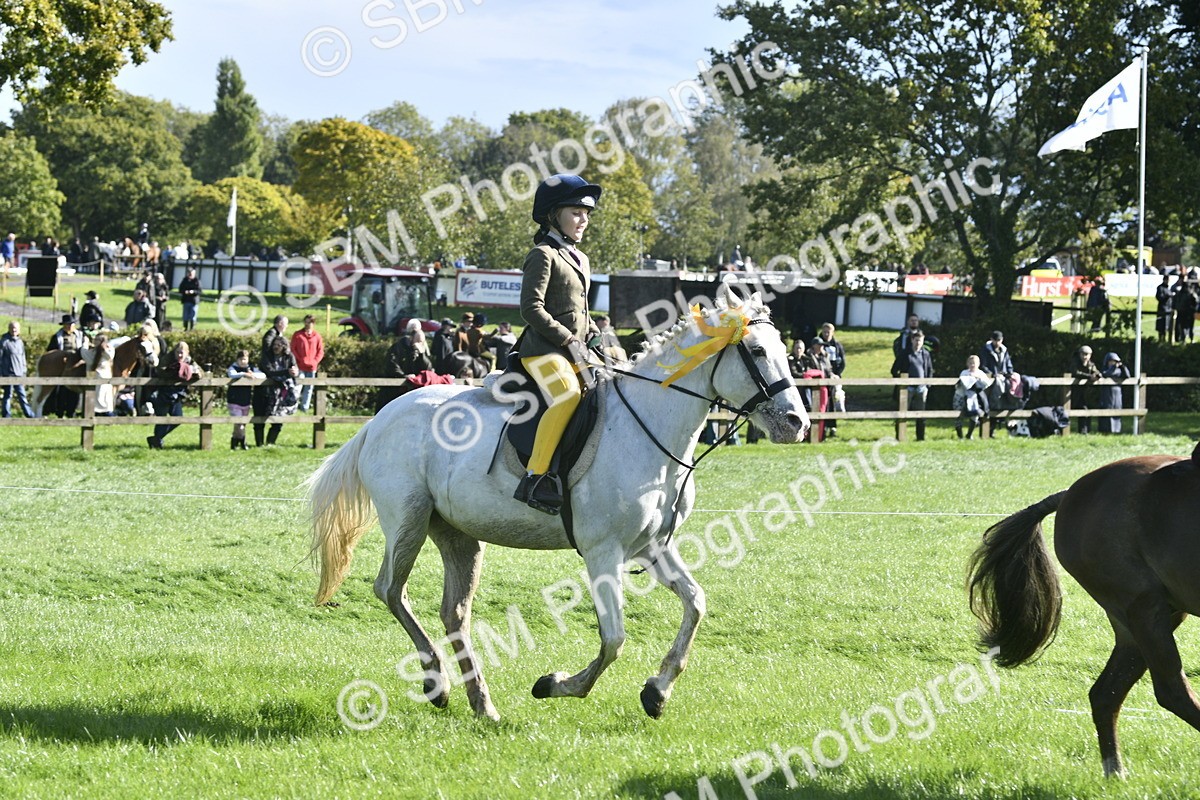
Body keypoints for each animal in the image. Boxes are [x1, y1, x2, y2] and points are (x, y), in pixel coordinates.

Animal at [307, 285, 808, 721]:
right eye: (756, 352)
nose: (797, 423)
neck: (649, 427)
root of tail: (379, 419)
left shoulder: (652, 548)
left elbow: (696, 604)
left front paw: (657, 691)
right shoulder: (603, 551)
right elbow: (614, 639)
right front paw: (556, 684)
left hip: (457, 534)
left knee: (454, 612)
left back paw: (482, 704)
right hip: (408, 522)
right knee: (391, 591)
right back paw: (439, 684)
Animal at [968, 443, 1200, 778]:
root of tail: (1071, 493)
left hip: (1149, 619)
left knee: (1106, 694)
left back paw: (1115, 771)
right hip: (1143, 605)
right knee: (1169, 689)